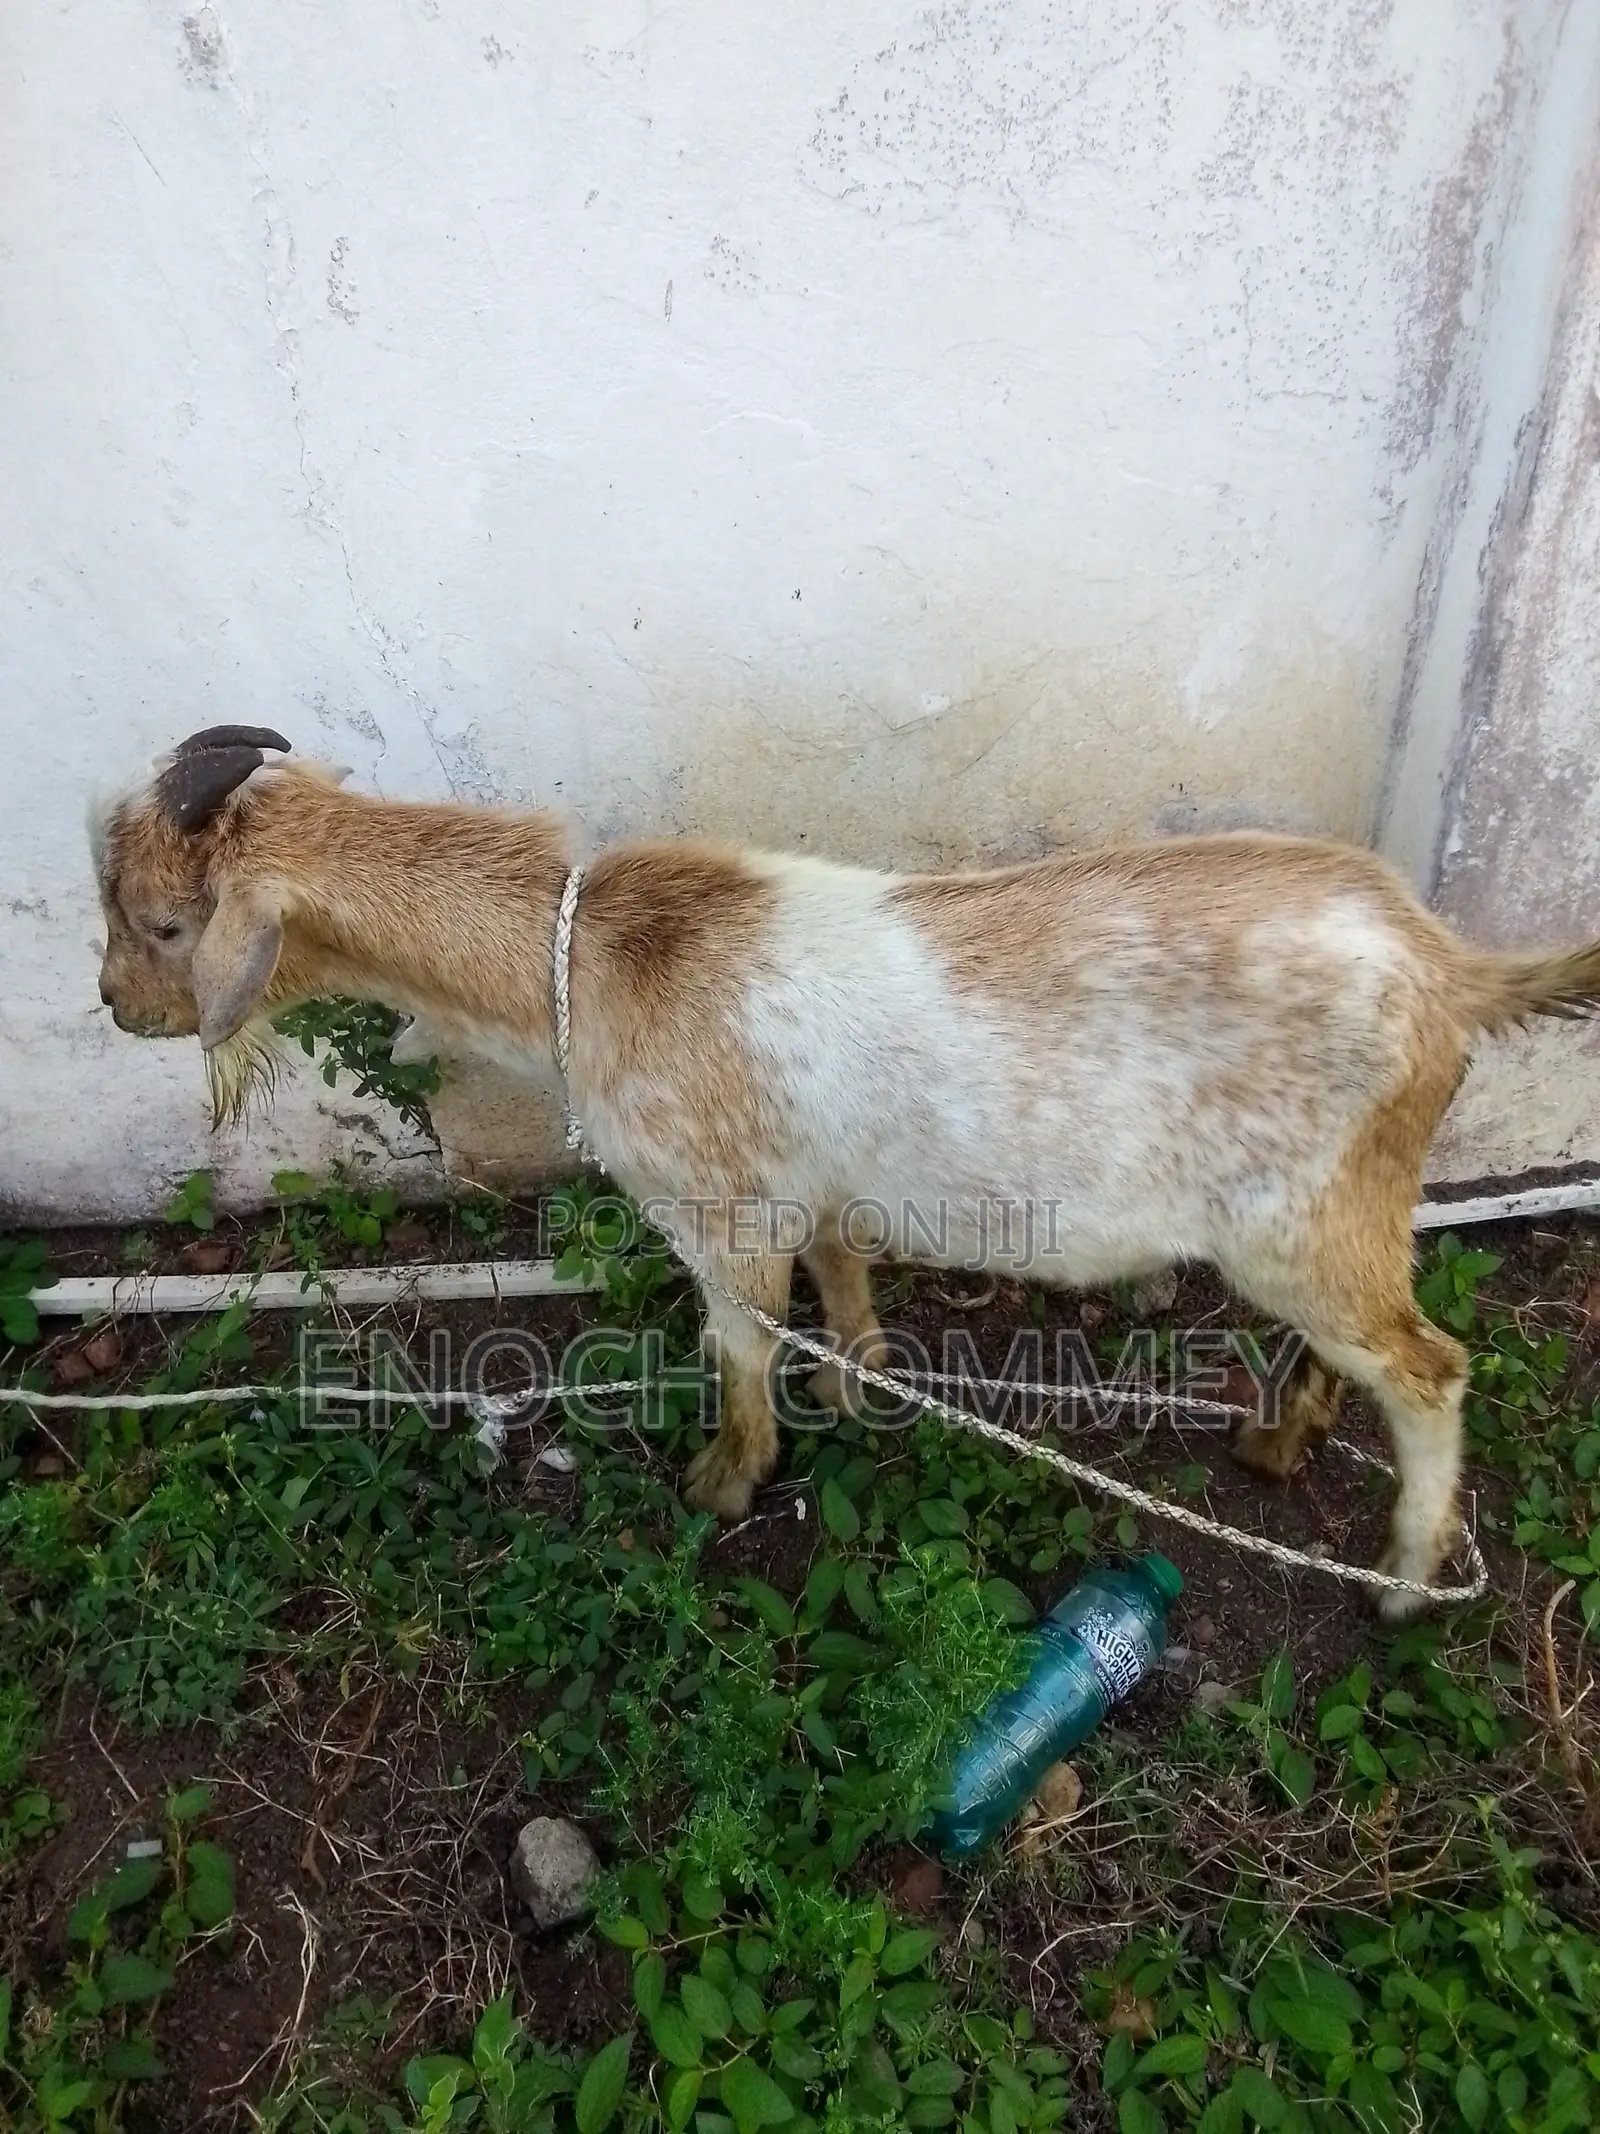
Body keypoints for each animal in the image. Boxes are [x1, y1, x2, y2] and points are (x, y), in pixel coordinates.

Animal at [93, 728, 1600, 1614]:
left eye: (164, 923)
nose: (113, 1008)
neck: (589, 959)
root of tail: (1453, 970)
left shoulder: (717, 1208)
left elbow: (741, 1338)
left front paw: (726, 1477)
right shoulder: (810, 1185)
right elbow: (841, 1280)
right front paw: (856, 1381)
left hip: (1316, 1219)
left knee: (1430, 1367)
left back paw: (1401, 1579)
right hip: (1316, 1220)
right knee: (1351, 1352)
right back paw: (1280, 1442)